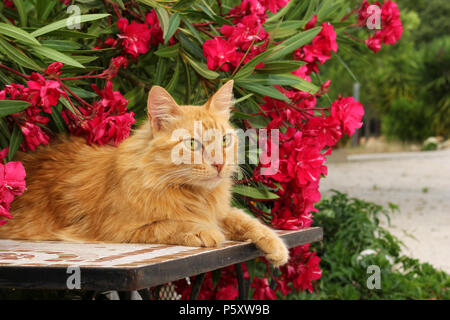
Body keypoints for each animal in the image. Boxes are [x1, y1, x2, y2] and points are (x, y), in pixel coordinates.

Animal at [0, 81, 288, 266]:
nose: (219, 164)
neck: (192, 194)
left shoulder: (220, 212)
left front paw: (276, 246)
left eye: (225, 140)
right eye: (192, 144)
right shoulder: (118, 230)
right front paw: (202, 231)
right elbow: (170, 223)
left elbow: (246, 220)